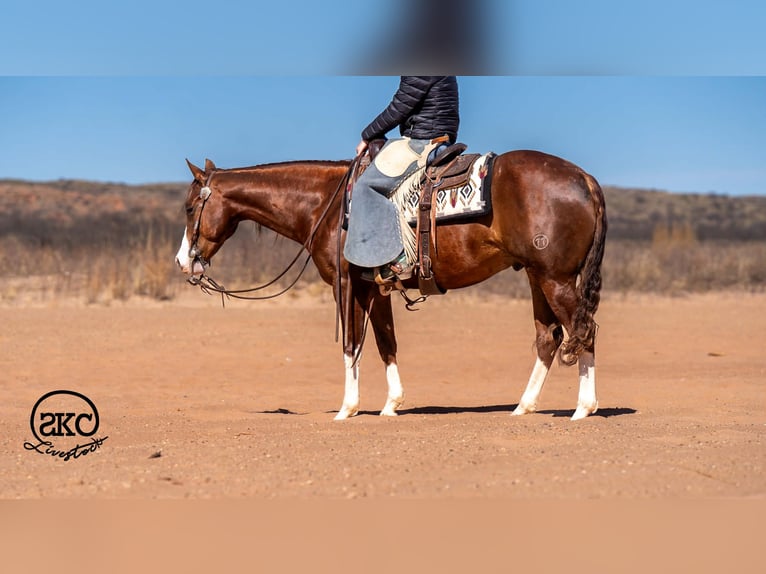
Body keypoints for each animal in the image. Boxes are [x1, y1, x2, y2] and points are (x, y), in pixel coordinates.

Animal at [175, 150, 607, 421]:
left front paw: (346, 409)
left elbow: (351, 345)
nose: (183, 262)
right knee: (549, 338)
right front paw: (391, 405)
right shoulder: (374, 288)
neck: (326, 206)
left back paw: (582, 409)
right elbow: (386, 342)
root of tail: (584, 179)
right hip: (537, 277)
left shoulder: (346, 285)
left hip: (555, 278)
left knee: (583, 331)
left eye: (190, 207)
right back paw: (523, 406)